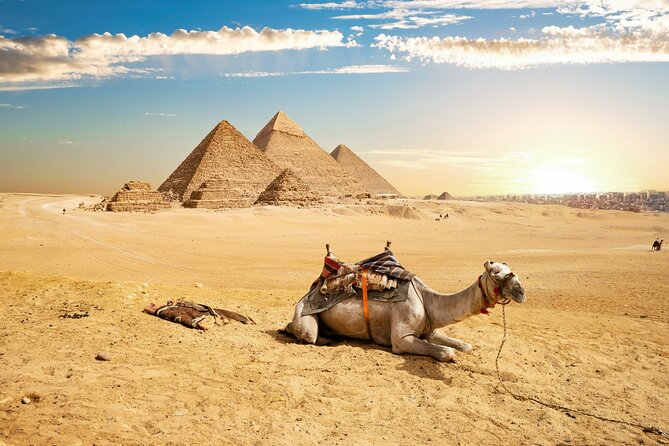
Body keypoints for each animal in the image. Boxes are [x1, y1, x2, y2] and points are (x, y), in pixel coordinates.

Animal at [285, 260, 526, 362]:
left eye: (511, 269)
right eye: (495, 273)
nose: (520, 291)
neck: (427, 300)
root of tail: (312, 289)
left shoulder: (429, 328)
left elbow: (465, 346)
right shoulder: (402, 339)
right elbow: (448, 352)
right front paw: (449, 355)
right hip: (304, 315)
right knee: (308, 334)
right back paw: (325, 339)